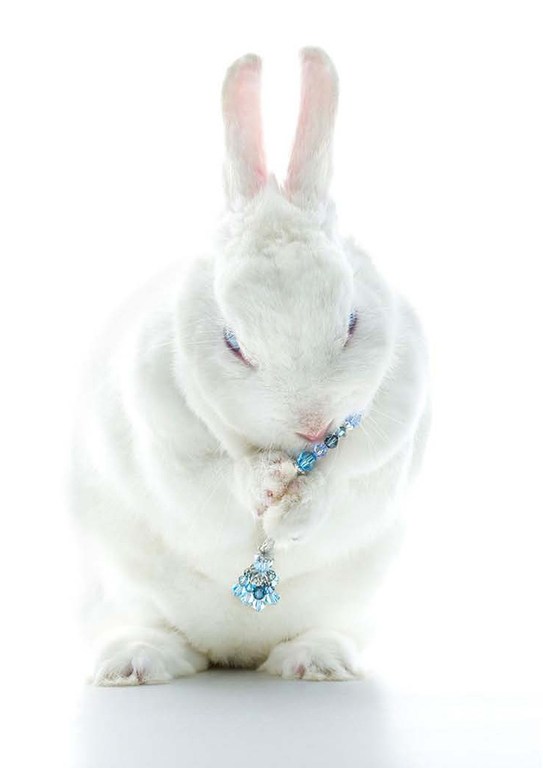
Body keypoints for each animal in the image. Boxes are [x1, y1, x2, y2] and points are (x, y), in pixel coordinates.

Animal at [71, 47, 430, 685]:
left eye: (352, 323)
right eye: (233, 343)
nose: (313, 424)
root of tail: (234, 652)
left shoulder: (387, 447)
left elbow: (342, 487)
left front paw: (294, 512)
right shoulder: (169, 450)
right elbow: (217, 482)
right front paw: (270, 483)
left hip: (357, 599)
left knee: (324, 631)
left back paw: (315, 662)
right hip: (118, 588)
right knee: (155, 633)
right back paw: (135, 663)